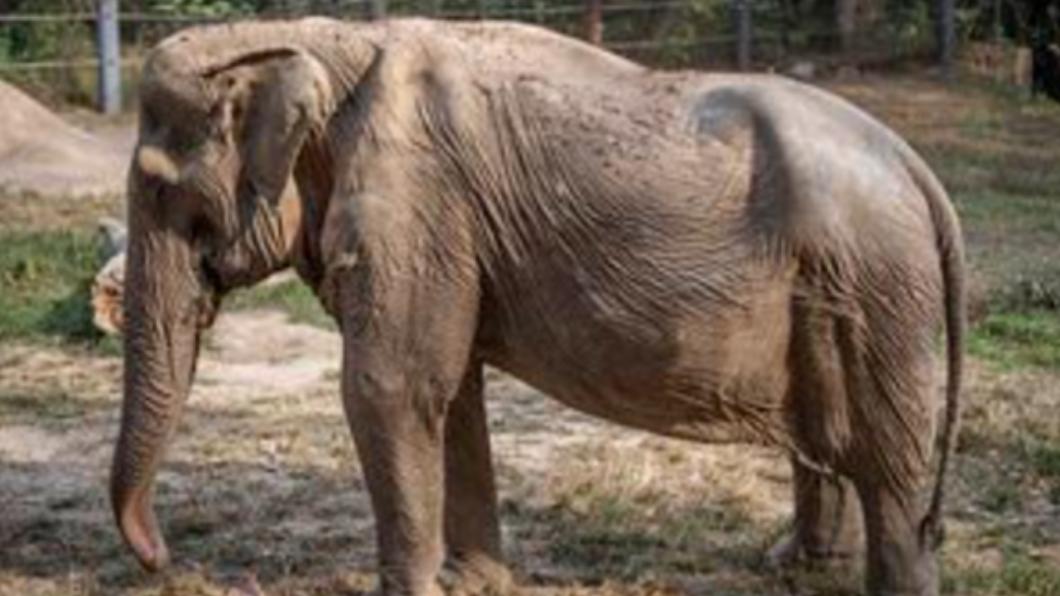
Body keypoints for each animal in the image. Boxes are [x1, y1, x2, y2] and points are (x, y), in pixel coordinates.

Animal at [110, 17, 965, 596]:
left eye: (160, 192)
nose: (163, 559)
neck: (315, 40)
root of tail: (920, 172)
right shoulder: (445, 231)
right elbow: (448, 392)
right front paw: (471, 583)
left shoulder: (418, 203)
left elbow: (391, 388)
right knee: (827, 433)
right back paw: (793, 566)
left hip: (879, 291)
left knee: (886, 460)